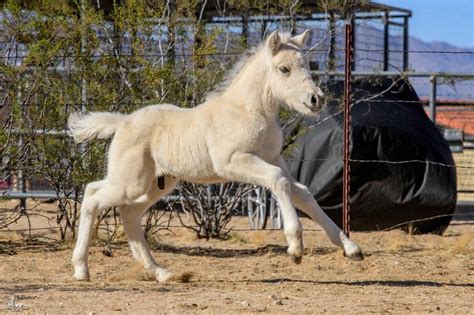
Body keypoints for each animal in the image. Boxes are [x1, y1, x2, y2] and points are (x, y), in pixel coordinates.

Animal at [68, 30, 362, 284]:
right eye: (284, 69)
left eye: (308, 67)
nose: (316, 100)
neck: (248, 110)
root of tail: (122, 122)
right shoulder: (234, 162)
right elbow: (278, 180)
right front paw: (295, 248)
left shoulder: (273, 158)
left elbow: (301, 192)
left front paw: (351, 248)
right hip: (131, 181)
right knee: (92, 196)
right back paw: (81, 269)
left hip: (156, 184)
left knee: (128, 214)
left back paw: (160, 273)